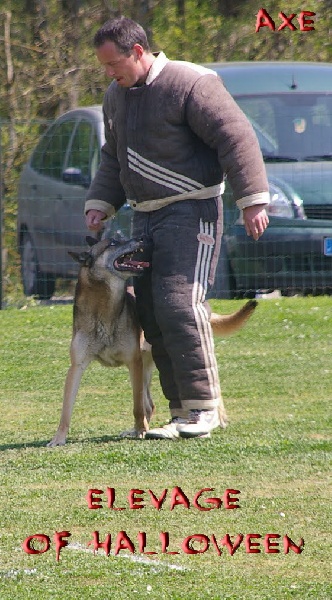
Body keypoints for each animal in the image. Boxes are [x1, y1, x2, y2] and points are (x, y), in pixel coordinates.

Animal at [48, 236, 258, 446]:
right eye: (113, 243)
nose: (140, 238)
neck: (104, 311)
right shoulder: (77, 367)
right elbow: (66, 409)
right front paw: (59, 438)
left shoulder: (133, 364)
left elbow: (137, 407)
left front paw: (141, 431)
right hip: (146, 367)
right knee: (150, 404)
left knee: (210, 388)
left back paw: (216, 419)